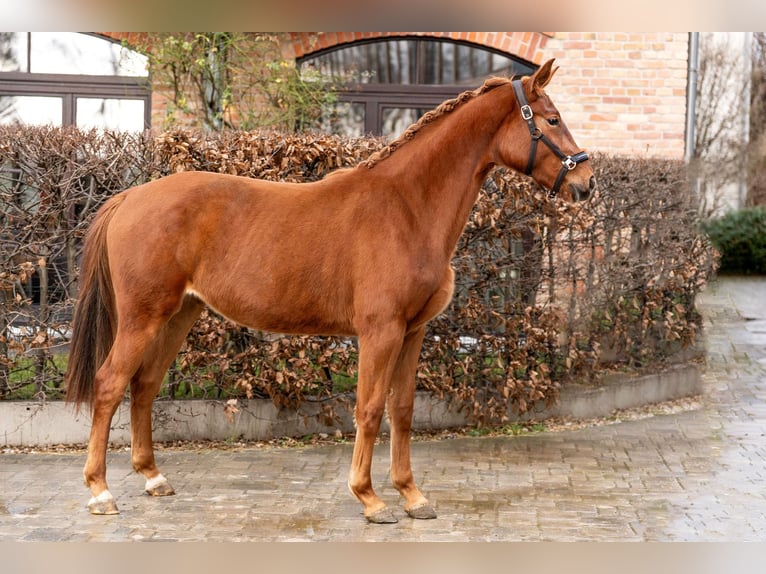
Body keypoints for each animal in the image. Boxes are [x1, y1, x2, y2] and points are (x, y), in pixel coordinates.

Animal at [66, 59, 592, 528]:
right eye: (551, 119)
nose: (586, 183)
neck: (407, 208)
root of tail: (129, 197)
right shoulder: (380, 332)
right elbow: (370, 409)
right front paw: (370, 499)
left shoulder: (413, 332)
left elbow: (402, 410)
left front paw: (412, 496)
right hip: (143, 317)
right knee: (110, 383)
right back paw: (101, 491)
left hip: (180, 314)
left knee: (144, 385)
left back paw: (153, 478)